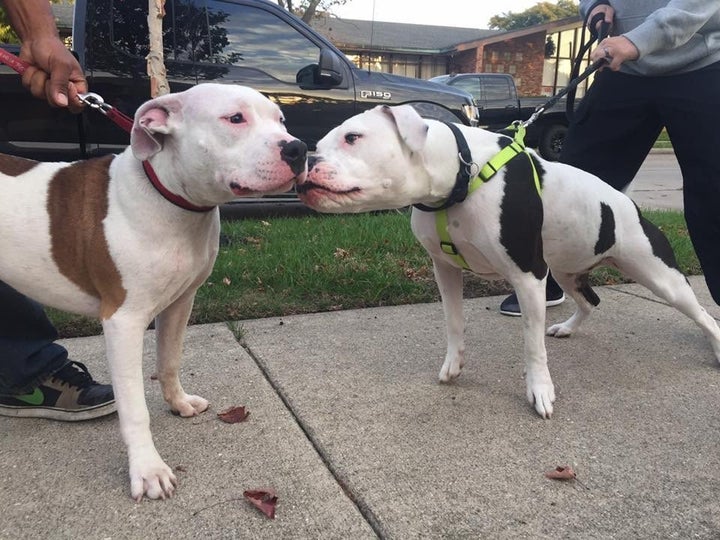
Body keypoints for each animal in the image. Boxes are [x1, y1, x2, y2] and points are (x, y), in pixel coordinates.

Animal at [0, 82, 306, 500]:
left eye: (281, 120)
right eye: (235, 118)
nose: (298, 148)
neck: (173, 203)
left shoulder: (180, 302)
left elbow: (169, 361)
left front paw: (178, 403)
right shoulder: (123, 321)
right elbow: (134, 408)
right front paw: (147, 469)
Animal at [296, 104, 720, 418]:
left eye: (353, 137)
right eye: (321, 142)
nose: (305, 158)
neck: (460, 175)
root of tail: (626, 204)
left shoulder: (529, 276)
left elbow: (532, 344)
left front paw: (540, 390)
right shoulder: (445, 270)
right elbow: (454, 323)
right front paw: (454, 365)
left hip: (658, 275)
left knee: (701, 313)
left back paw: (715, 346)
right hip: (565, 270)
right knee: (590, 300)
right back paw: (568, 327)